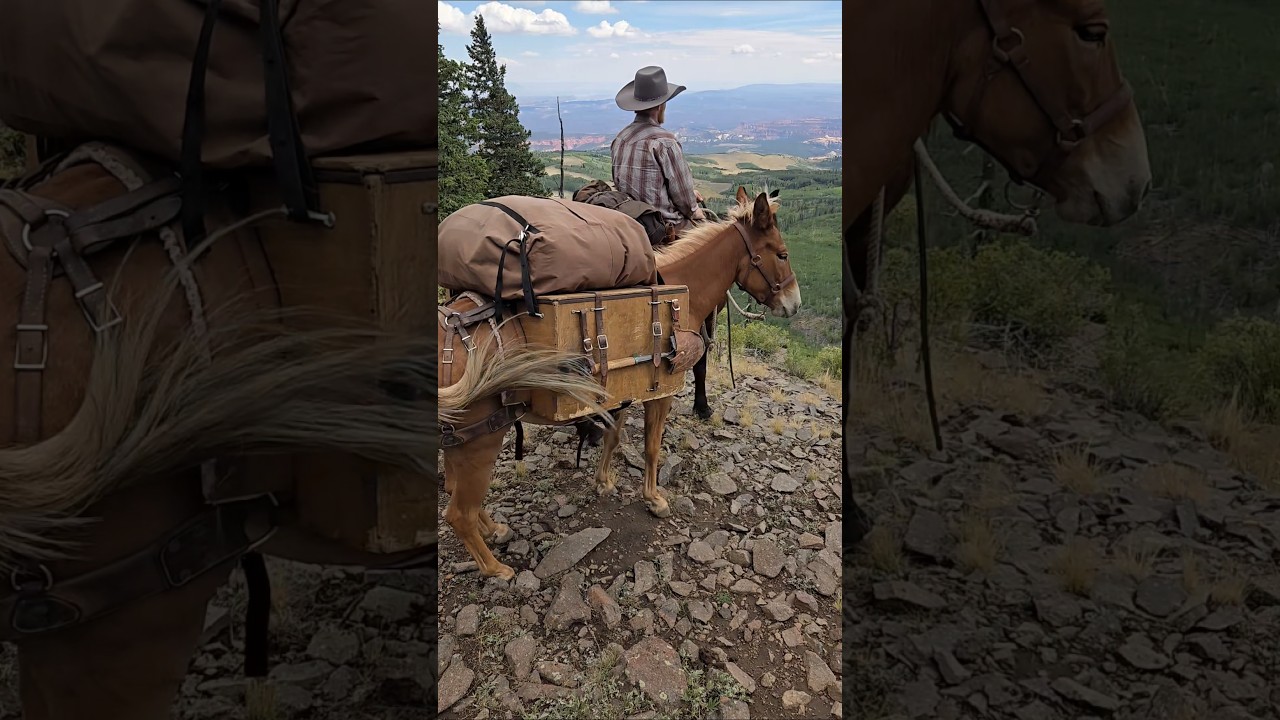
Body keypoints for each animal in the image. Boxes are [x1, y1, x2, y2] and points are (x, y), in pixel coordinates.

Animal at [438, 186, 802, 580]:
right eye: (782, 253)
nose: (795, 304)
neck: (683, 290)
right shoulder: (662, 391)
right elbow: (652, 447)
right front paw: (654, 498)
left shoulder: (624, 390)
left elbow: (613, 436)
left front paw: (604, 481)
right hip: (482, 441)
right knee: (458, 512)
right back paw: (495, 568)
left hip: (461, 441)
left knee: (455, 492)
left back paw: (495, 530)